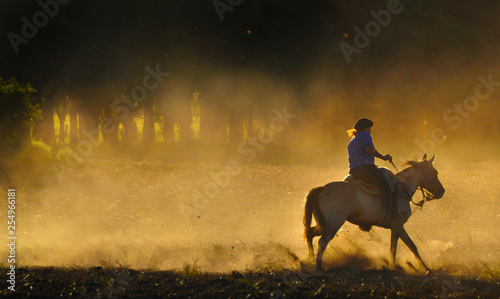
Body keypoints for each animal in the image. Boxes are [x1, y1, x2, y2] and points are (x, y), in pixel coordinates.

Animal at [304, 155, 446, 272]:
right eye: (435, 172)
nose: (442, 191)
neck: (402, 190)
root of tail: (322, 188)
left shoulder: (398, 227)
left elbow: (412, 246)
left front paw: (426, 269)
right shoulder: (397, 225)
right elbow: (395, 248)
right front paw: (394, 267)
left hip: (323, 224)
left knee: (309, 234)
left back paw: (310, 260)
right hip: (333, 225)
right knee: (322, 242)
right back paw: (318, 267)